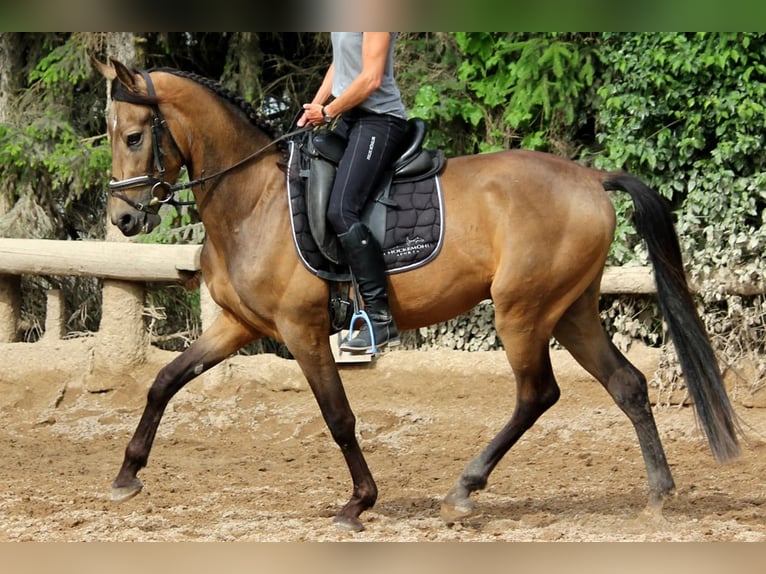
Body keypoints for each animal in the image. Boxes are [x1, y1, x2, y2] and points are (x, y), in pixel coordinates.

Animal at [93, 59, 740, 536]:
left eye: (134, 136)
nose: (123, 219)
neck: (253, 199)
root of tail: (589, 177)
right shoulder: (238, 325)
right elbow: (165, 381)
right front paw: (126, 476)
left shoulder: (302, 329)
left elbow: (339, 417)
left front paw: (359, 502)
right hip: (571, 311)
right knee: (626, 383)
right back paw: (658, 494)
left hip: (522, 311)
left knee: (537, 394)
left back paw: (463, 491)